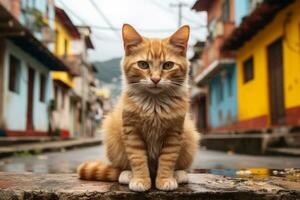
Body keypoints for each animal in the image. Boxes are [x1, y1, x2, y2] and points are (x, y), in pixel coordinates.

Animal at [78, 24, 199, 191]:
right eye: (143, 64)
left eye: (168, 65)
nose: (155, 79)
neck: (154, 105)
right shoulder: (132, 132)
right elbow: (138, 159)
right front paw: (140, 180)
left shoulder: (174, 133)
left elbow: (168, 160)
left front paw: (165, 179)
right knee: (122, 167)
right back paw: (127, 174)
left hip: (189, 137)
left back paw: (179, 174)